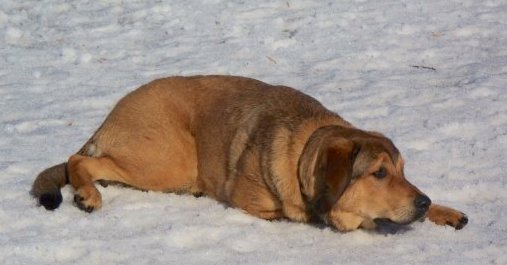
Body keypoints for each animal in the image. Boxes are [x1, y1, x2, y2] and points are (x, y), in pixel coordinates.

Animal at [30, 75, 468, 231]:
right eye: (378, 173)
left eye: (403, 170)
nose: (422, 201)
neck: (303, 152)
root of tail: (108, 118)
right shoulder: (253, 200)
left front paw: (444, 211)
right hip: (170, 160)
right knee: (79, 160)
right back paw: (88, 193)